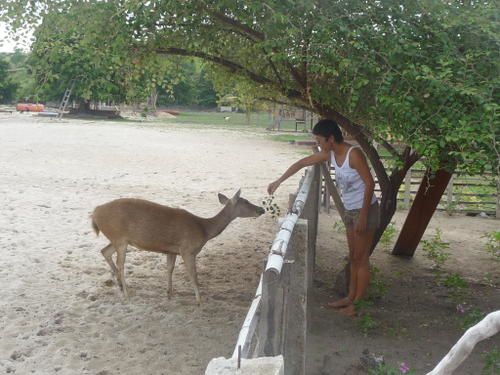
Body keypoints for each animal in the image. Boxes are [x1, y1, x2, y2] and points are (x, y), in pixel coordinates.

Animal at [93, 191, 266, 306]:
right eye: (246, 202)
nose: (262, 209)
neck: (204, 230)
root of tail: (94, 213)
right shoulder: (188, 249)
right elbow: (194, 275)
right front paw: (199, 300)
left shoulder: (172, 250)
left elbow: (170, 269)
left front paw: (169, 293)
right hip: (119, 237)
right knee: (121, 264)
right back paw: (126, 293)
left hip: (119, 239)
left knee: (105, 251)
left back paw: (121, 286)